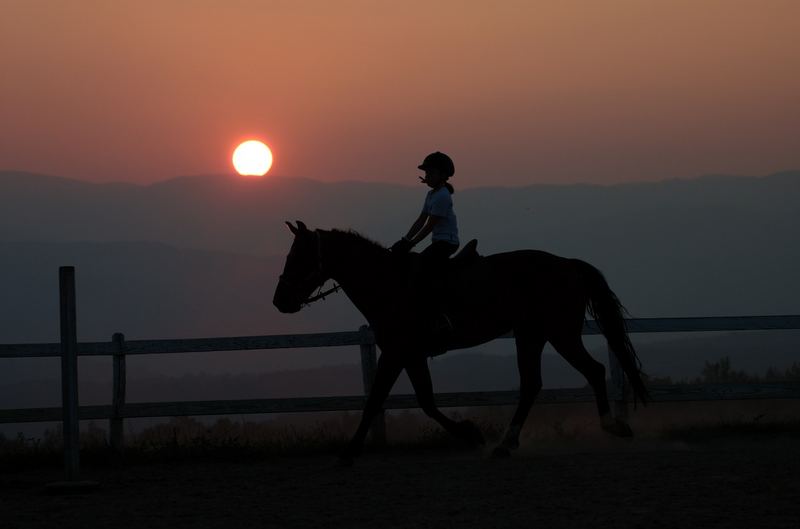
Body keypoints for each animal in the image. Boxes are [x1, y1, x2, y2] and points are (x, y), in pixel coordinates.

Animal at [276, 221, 648, 460]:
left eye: (297, 257)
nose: (279, 301)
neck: (387, 284)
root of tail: (568, 265)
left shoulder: (396, 353)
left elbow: (378, 401)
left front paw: (350, 451)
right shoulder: (409, 355)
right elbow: (422, 401)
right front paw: (471, 433)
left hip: (560, 333)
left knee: (593, 370)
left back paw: (614, 427)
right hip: (531, 335)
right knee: (533, 384)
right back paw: (505, 444)